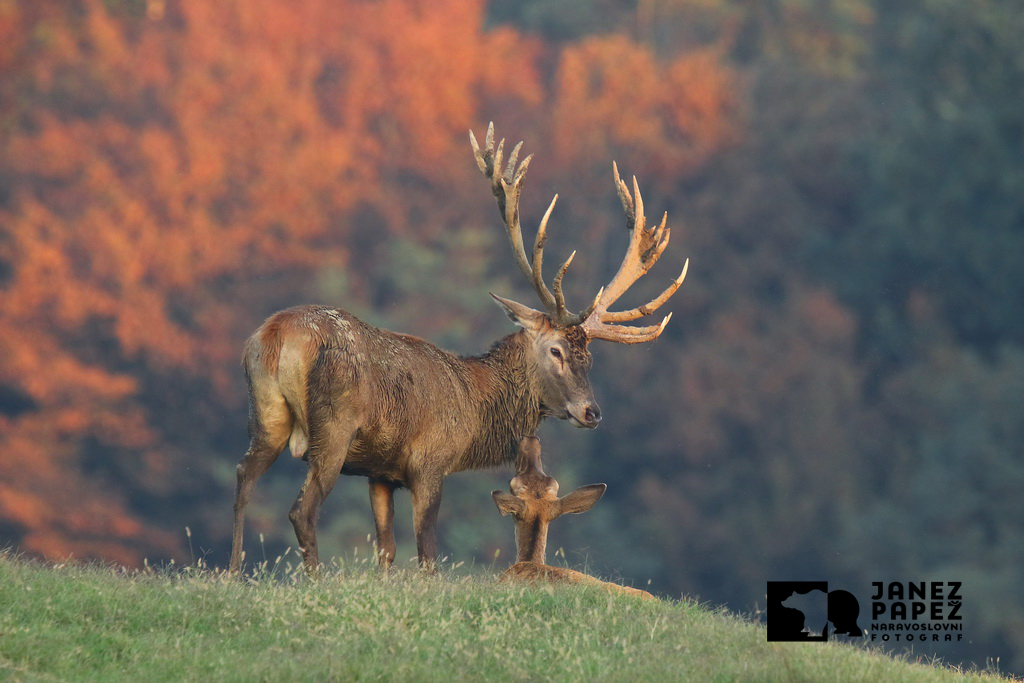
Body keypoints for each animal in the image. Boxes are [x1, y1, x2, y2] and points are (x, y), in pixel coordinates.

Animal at [228, 121, 684, 573]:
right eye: (556, 351)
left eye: (590, 357)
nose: (592, 412)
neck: (473, 410)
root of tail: (278, 334)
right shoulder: (430, 461)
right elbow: (427, 552)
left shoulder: (380, 472)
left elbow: (385, 550)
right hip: (333, 427)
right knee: (302, 510)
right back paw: (313, 578)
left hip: (266, 414)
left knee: (243, 478)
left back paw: (233, 571)